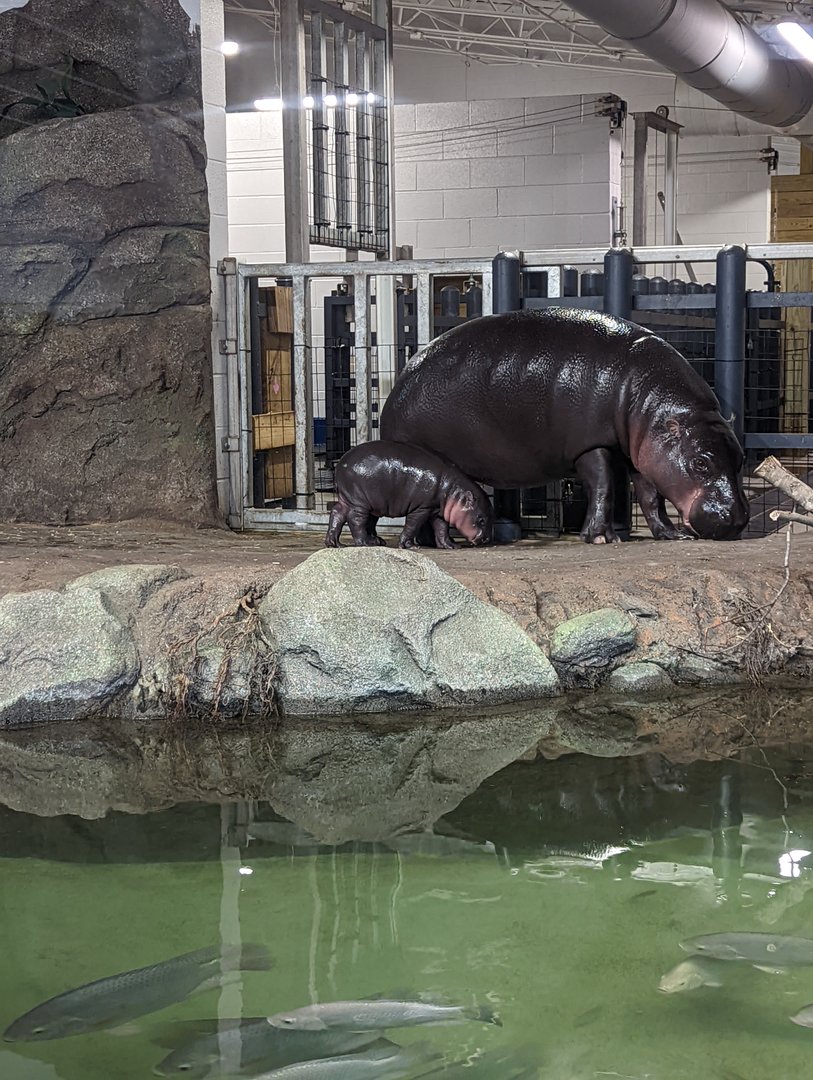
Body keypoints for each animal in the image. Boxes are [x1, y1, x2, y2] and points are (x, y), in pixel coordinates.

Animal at [325, 440, 494, 549]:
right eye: (481, 520)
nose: (486, 539)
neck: (452, 490)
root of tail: (341, 463)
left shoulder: (437, 511)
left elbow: (441, 529)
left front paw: (451, 546)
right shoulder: (422, 508)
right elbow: (413, 525)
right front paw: (409, 546)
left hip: (350, 498)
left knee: (337, 513)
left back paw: (335, 544)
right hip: (359, 501)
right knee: (356, 519)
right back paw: (365, 543)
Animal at [380, 308, 749, 543]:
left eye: (741, 458)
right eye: (700, 463)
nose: (737, 519)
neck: (647, 400)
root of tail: (396, 389)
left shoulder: (642, 455)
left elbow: (650, 497)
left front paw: (672, 535)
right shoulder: (591, 445)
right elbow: (603, 487)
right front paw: (600, 538)